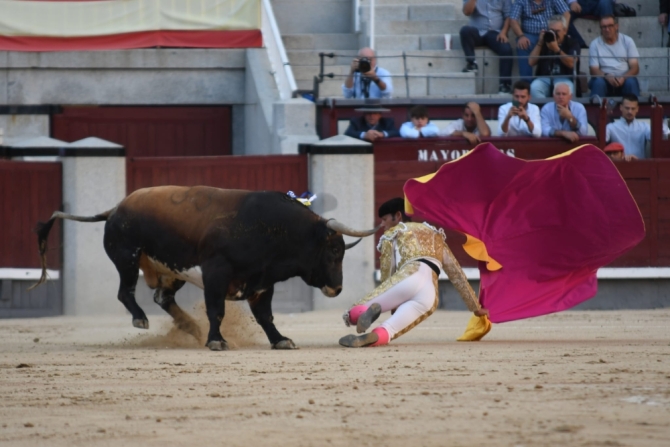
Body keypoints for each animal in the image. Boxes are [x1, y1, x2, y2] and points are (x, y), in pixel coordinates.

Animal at [32, 187, 378, 352]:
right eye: (334, 250)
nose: (337, 288)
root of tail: (116, 208)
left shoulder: (262, 282)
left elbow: (266, 316)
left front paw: (280, 340)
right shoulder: (216, 274)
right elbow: (217, 311)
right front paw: (216, 340)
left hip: (172, 271)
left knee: (162, 298)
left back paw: (190, 327)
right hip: (127, 258)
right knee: (125, 292)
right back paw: (141, 319)